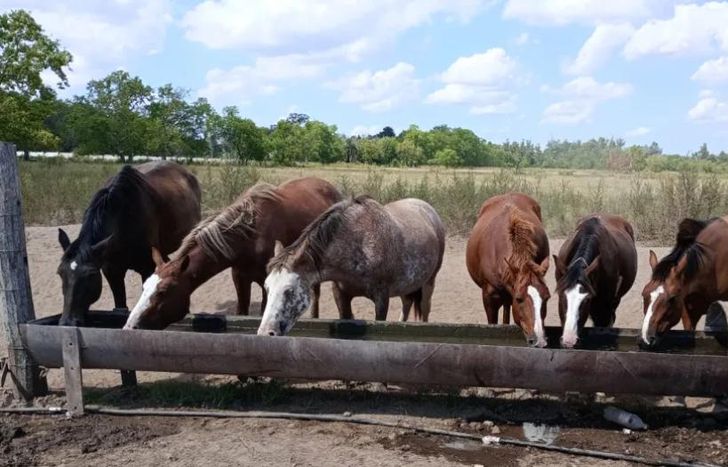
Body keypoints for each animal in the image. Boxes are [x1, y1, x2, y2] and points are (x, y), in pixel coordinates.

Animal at [57, 162, 201, 326]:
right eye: (60, 273)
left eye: (91, 275)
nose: (68, 322)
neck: (124, 219)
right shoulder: (112, 270)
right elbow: (120, 306)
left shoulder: (147, 268)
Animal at [123, 177, 342, 330]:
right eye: (144, 287)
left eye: (163, 291)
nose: (131, 325)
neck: (250, 235)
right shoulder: (239, 277)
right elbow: (241, 313)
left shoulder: (267, 283)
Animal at [257, 196, 445, 336]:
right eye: (267, 288)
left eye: (289, 290)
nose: (266, 332)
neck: (360, 244)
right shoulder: (341, 295)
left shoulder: (381, 298)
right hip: (407, 286)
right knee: (406, 304)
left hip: (429, 282)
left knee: (425, 309)